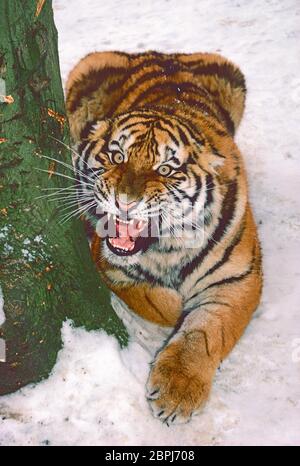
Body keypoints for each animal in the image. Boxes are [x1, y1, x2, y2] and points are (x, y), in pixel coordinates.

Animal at [65, 52, 262, 426]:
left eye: (165, 169)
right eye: (117, 156)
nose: (124, 200)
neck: (169, 247)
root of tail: (161, 52)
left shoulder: (238, 278)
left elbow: (206, 331)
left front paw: (177, 391)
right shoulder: (109, 264)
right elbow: (159, 302)